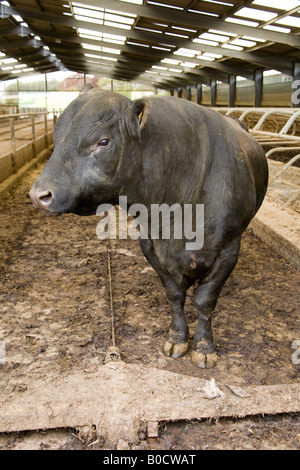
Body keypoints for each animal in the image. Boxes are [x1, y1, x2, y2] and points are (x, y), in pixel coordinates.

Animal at [29, 87, 268, 368]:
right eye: (57, 138)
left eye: (103, 141)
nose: (39, 194)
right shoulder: (149, 244)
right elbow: (174, 294)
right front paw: (176, 339)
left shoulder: (228, 249)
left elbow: (205, 300)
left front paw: (204, 348)